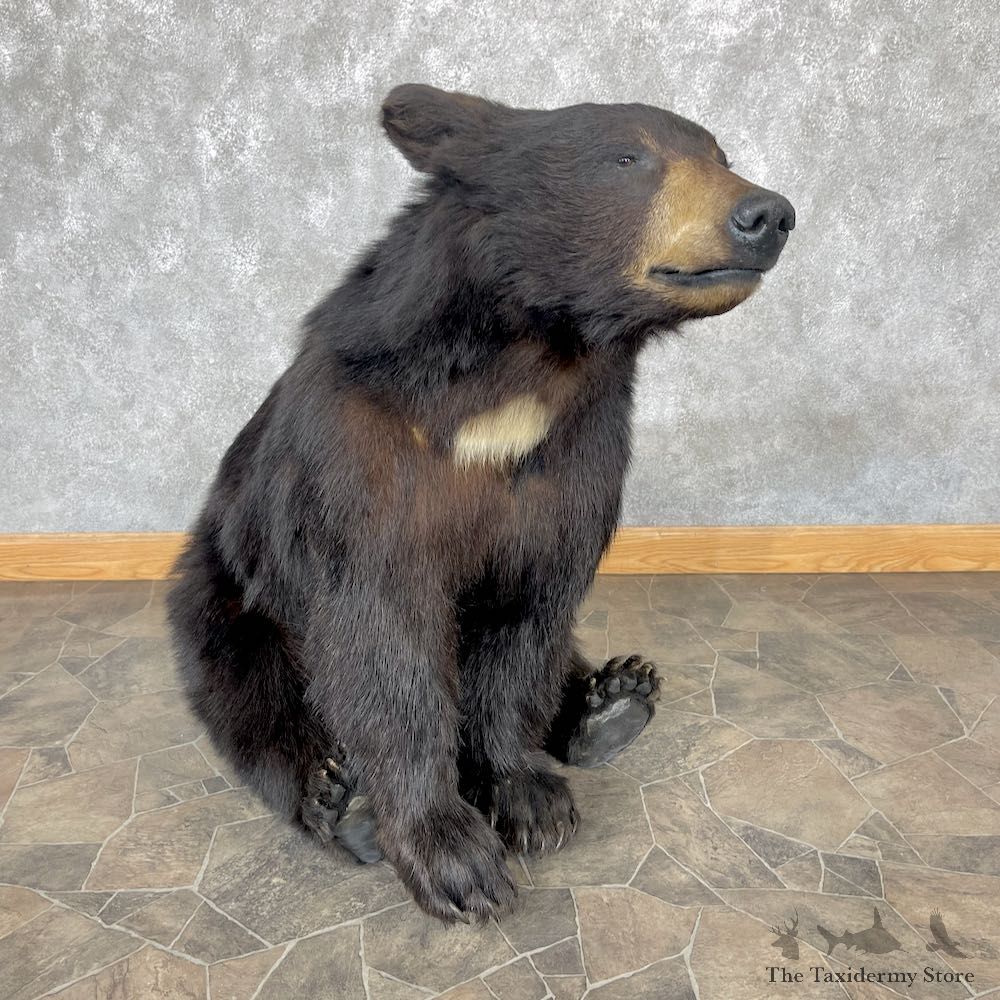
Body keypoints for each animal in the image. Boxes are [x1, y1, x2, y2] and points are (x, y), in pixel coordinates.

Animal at [167, 84, 794, 923]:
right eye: (628, 158)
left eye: (719, 155)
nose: (768, 213)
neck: (522, 373)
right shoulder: (364, 463)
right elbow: (383, 639)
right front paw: (452, 856)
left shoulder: (575, 458)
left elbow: (527, 616)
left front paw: (522, 791)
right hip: (229, 602)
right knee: (255, 703)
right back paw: (338, 800)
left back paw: (611, 704)